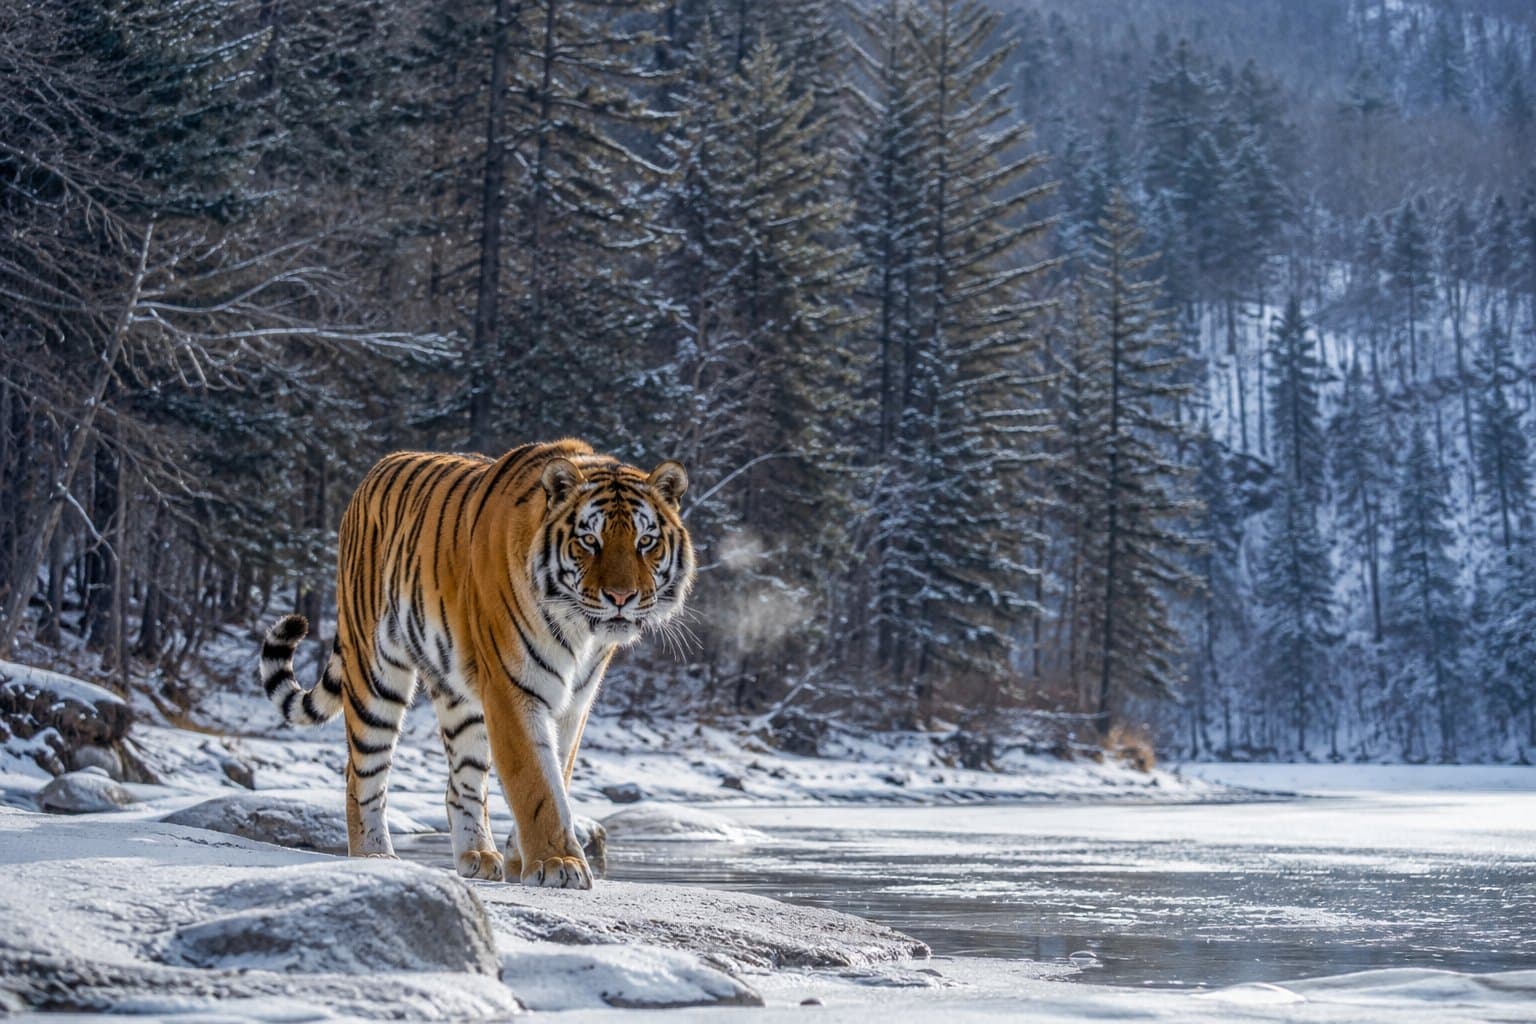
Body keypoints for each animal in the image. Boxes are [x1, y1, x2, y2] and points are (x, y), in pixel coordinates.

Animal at [258, 439, 694, 889]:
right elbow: (536, 783)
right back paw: (375, 855)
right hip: (375, 673)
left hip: (459, 698)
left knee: (460, 784)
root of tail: (374, 472)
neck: (579, 633)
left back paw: (478, 855)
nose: (621, 597)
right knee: (361, 773)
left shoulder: (574, 702)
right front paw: (558, 862)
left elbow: (557, 775)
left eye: (646, 541)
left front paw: (523, 861)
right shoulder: (512, 687)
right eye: (589, 540)